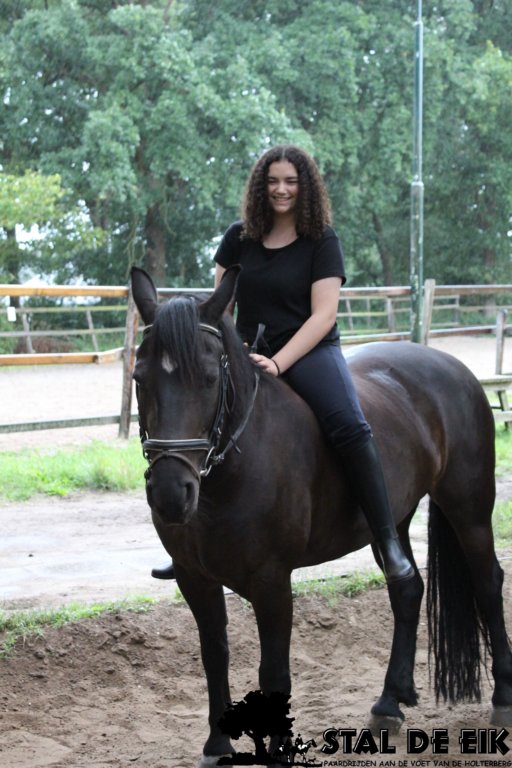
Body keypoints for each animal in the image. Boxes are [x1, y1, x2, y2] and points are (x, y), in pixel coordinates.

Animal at [131, 265, 512, 767]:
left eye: (210, 378)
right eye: (139, 378)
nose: (172, 494)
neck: (230, 473)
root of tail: (453, 368)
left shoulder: (272, 581)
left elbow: (274, 671)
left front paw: (276, 752)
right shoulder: (196, 579)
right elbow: (214, 656)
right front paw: (216, 745)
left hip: (469, 509)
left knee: (487, 583)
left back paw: (503, 697)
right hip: (391, 522)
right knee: (407, 587)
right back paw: (389, 702)